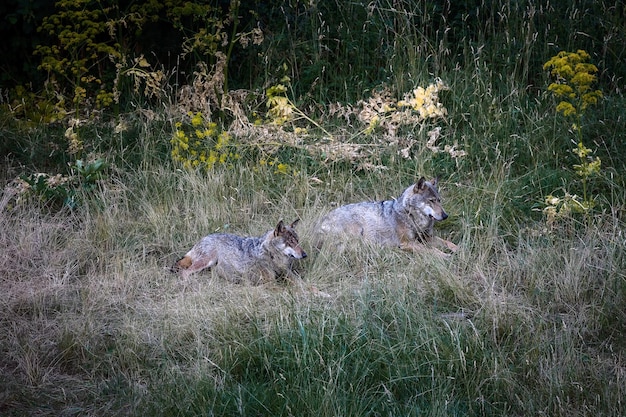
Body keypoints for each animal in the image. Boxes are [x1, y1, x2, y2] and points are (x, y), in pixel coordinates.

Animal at [171, 218, 308, 282]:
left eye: (297, 241)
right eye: (290, 243)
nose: (305, 255)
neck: (271, 255)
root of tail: (203, 238)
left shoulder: (288, 274)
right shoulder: (269, 280)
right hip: (206, 261)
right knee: (185, 272)